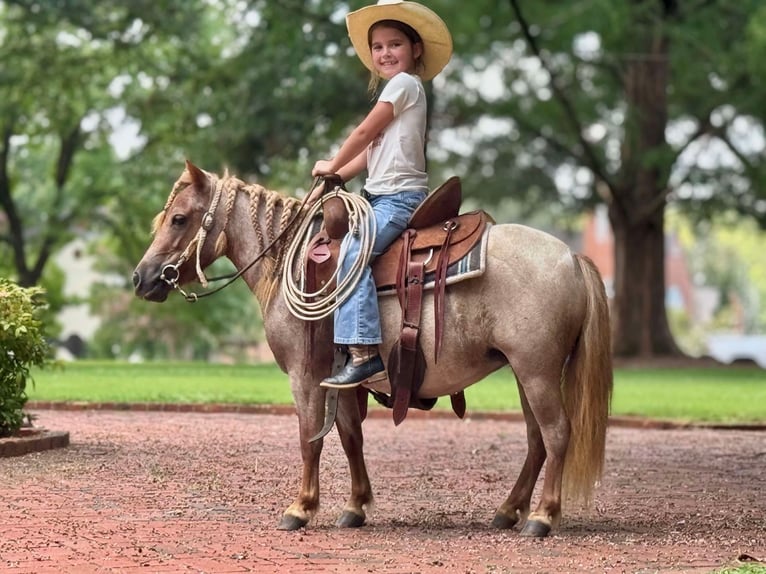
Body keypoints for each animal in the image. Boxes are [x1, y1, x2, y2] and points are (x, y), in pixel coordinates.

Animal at [132, 162, 612, 540]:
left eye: (179, 219)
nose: (141, 278)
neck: (290, 259)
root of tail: (572, 258)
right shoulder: (341, 377)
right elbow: (349, 436)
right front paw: (355, 506)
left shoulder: (305, 375)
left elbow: (309, 438)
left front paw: (300, 507)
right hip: (524, 371)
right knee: (536, 440)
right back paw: (508, 511)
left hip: (537, 370)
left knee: (556, 433)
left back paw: (542, 517)